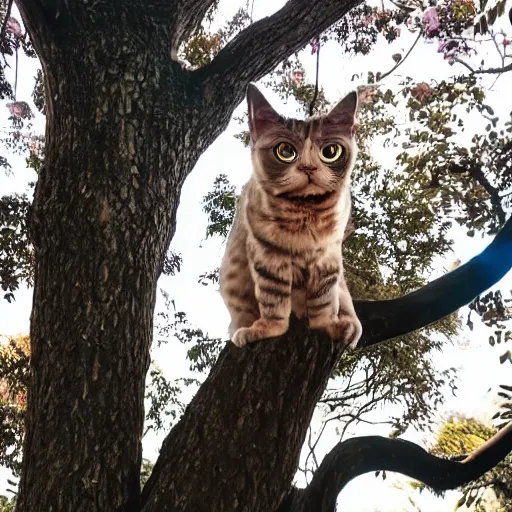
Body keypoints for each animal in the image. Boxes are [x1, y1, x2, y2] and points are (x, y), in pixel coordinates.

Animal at [218, 85, 362, 348]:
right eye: (285, 151)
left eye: (330, 151)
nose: (308, 168)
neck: (305, 212)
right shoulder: (266, 256)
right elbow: (273, 299)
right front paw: (267, 328)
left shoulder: (327, 258)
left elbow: (323, 298)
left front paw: (326, 325)